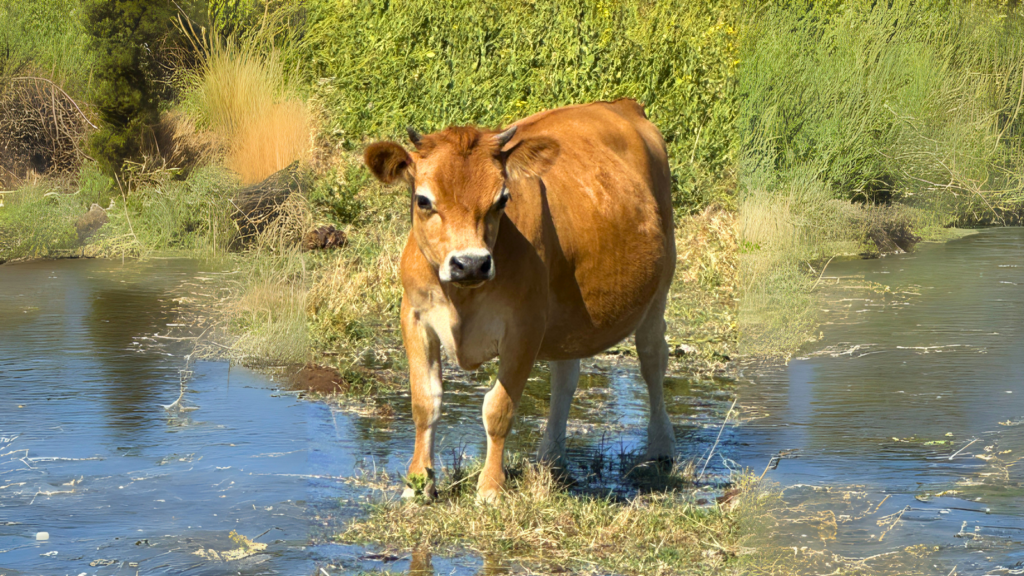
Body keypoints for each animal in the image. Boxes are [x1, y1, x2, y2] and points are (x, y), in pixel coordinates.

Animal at [364, 97, 675, 498]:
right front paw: (418, 485)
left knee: (652, 358)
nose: (471, 263)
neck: (462, 300)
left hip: (661, 284)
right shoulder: (414, 316)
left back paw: (660, 449)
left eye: (502, 199)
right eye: (423, 200)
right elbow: (424, 402)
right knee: (566, 375)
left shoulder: (524, 327)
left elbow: (498, 409)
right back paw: (552, 458)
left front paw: (490, 488)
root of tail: (620, 104)